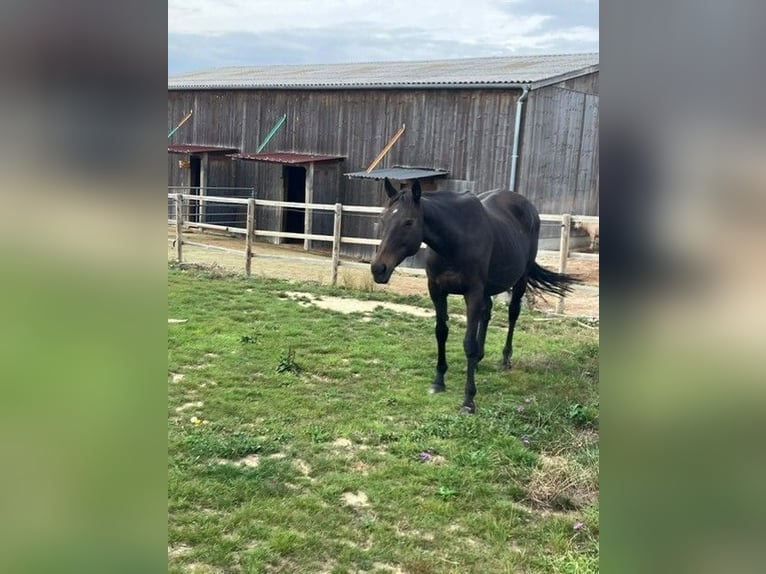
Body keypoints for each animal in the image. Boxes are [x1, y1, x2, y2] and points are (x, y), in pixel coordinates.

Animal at [370, 178, 578, 413]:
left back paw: (505, 359)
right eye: (383, 219)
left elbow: (468, 342)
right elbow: (441, 332)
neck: (454, 242)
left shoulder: (473, 293)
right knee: (486, 313)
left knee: (513, 314)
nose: (378, 269)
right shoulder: (437, 291)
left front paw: (468, 399)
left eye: (408, 222)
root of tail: (528, 207)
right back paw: (478, 359)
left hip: (520, 280)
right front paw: (438, 381)